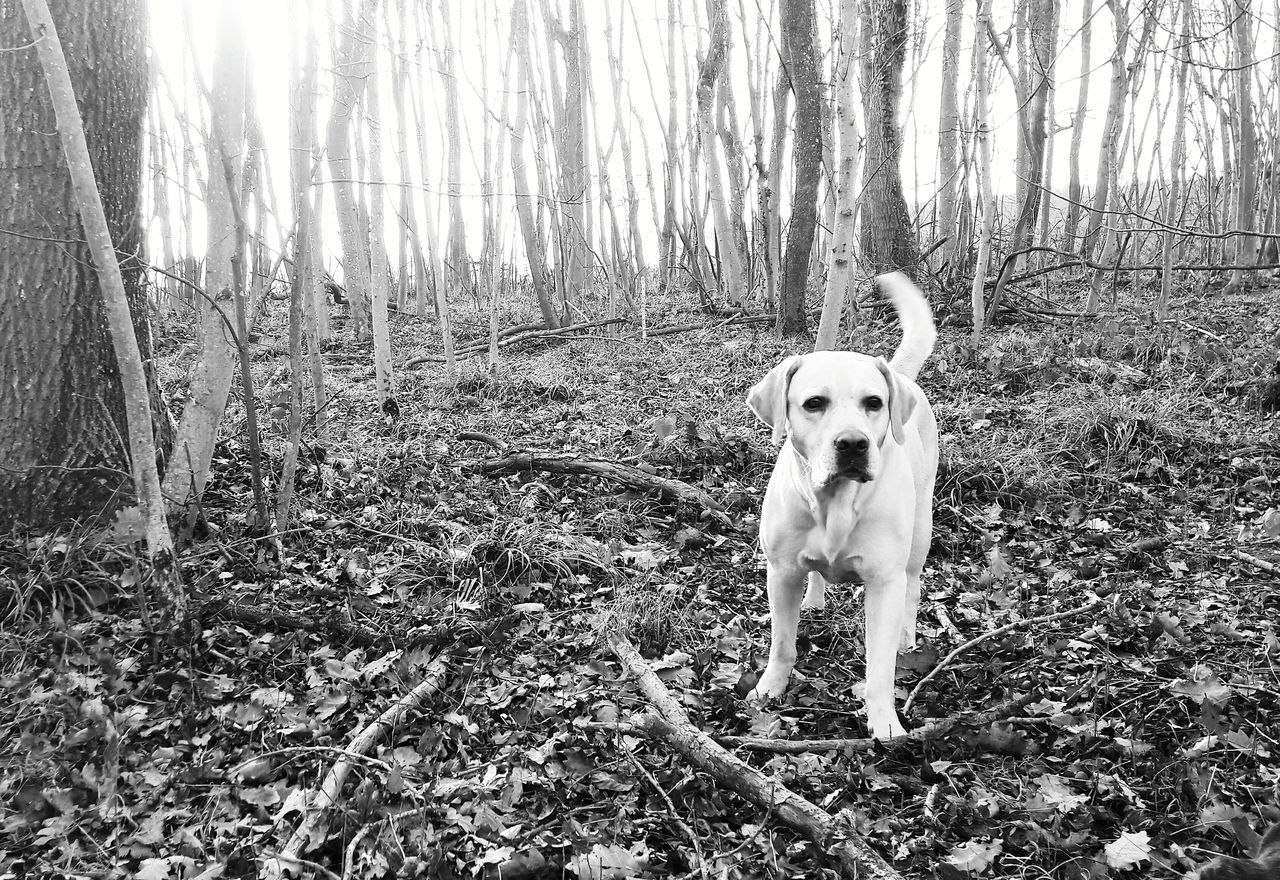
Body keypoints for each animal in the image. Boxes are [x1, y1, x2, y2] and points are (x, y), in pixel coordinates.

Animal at [742, 271, 942, 736]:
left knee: (913, 584)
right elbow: (782, 642)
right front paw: (770, 687)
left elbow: (880, 667)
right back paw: (814, 600)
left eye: (874, 403)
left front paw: (884, 721)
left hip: (919, 532)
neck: (834, 503)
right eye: (814, 403)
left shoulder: (884, 582)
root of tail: (899, 374)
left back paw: (907, 636)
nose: (853, 444)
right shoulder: (780, 572)